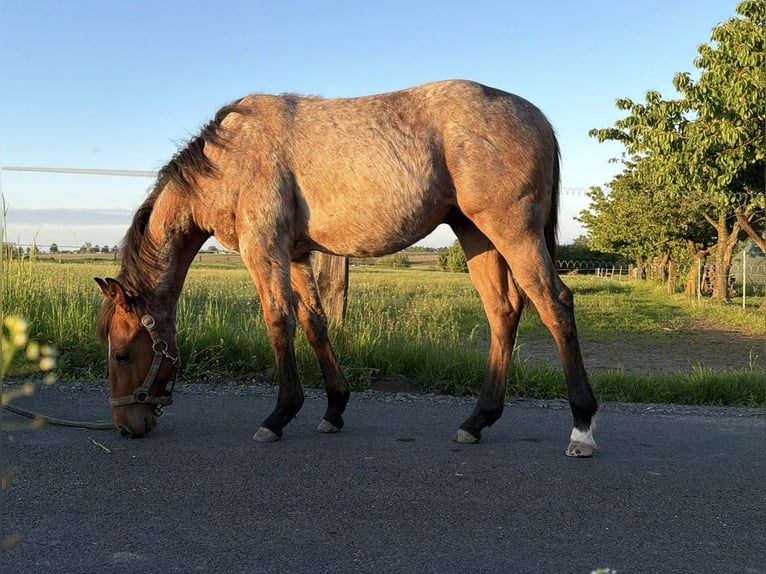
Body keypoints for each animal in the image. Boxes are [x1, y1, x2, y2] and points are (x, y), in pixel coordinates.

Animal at [95, 79, 598, 457]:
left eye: (122, 354)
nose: (125, 426)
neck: (231, 160)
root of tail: (536, 117)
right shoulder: (297, 255)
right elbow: (313, 323)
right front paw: (333, 408)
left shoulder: (265, 251)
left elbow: (278, 322)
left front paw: (279, 415)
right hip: (477, 236)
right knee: (503, 312)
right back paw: (477, 421)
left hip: (513, 233)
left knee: (554, 304)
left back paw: (582, 427)